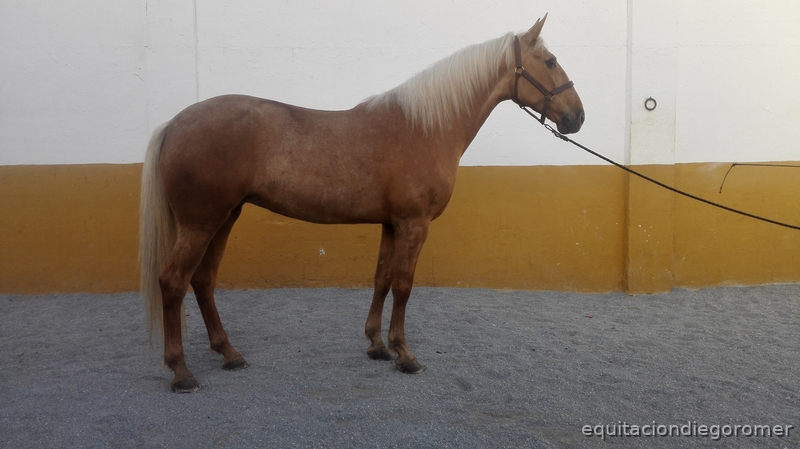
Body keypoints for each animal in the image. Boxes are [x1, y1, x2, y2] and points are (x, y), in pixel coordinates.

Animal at [139, 14, 584, 392]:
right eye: (550, 61)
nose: (577, 118)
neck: (426, 127)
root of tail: (174, 124)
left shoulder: (391, 224)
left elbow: (382, 279)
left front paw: (376, 345)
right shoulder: (414, 223)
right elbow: (403, 285)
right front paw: (404, 354)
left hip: (223, 218)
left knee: (202, 280)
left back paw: (228, 353)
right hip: (201, 222)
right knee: (173, 281)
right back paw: (181, 371)